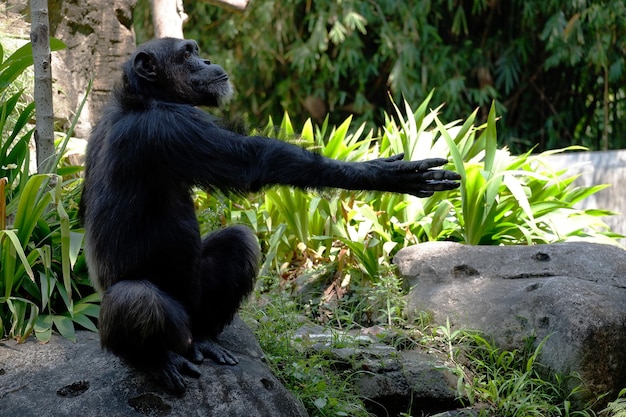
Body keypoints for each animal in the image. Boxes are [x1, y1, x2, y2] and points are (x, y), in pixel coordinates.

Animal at [79, 37, 458, 392]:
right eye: (186, 55)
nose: (207, 60)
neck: (146, 97)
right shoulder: (170, 126)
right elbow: (254, 158)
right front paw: (383, 173)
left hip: (194, 308)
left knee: (239, 240)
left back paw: (206, 340)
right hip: (162, 326)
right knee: (134, 298)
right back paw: (155, 360)